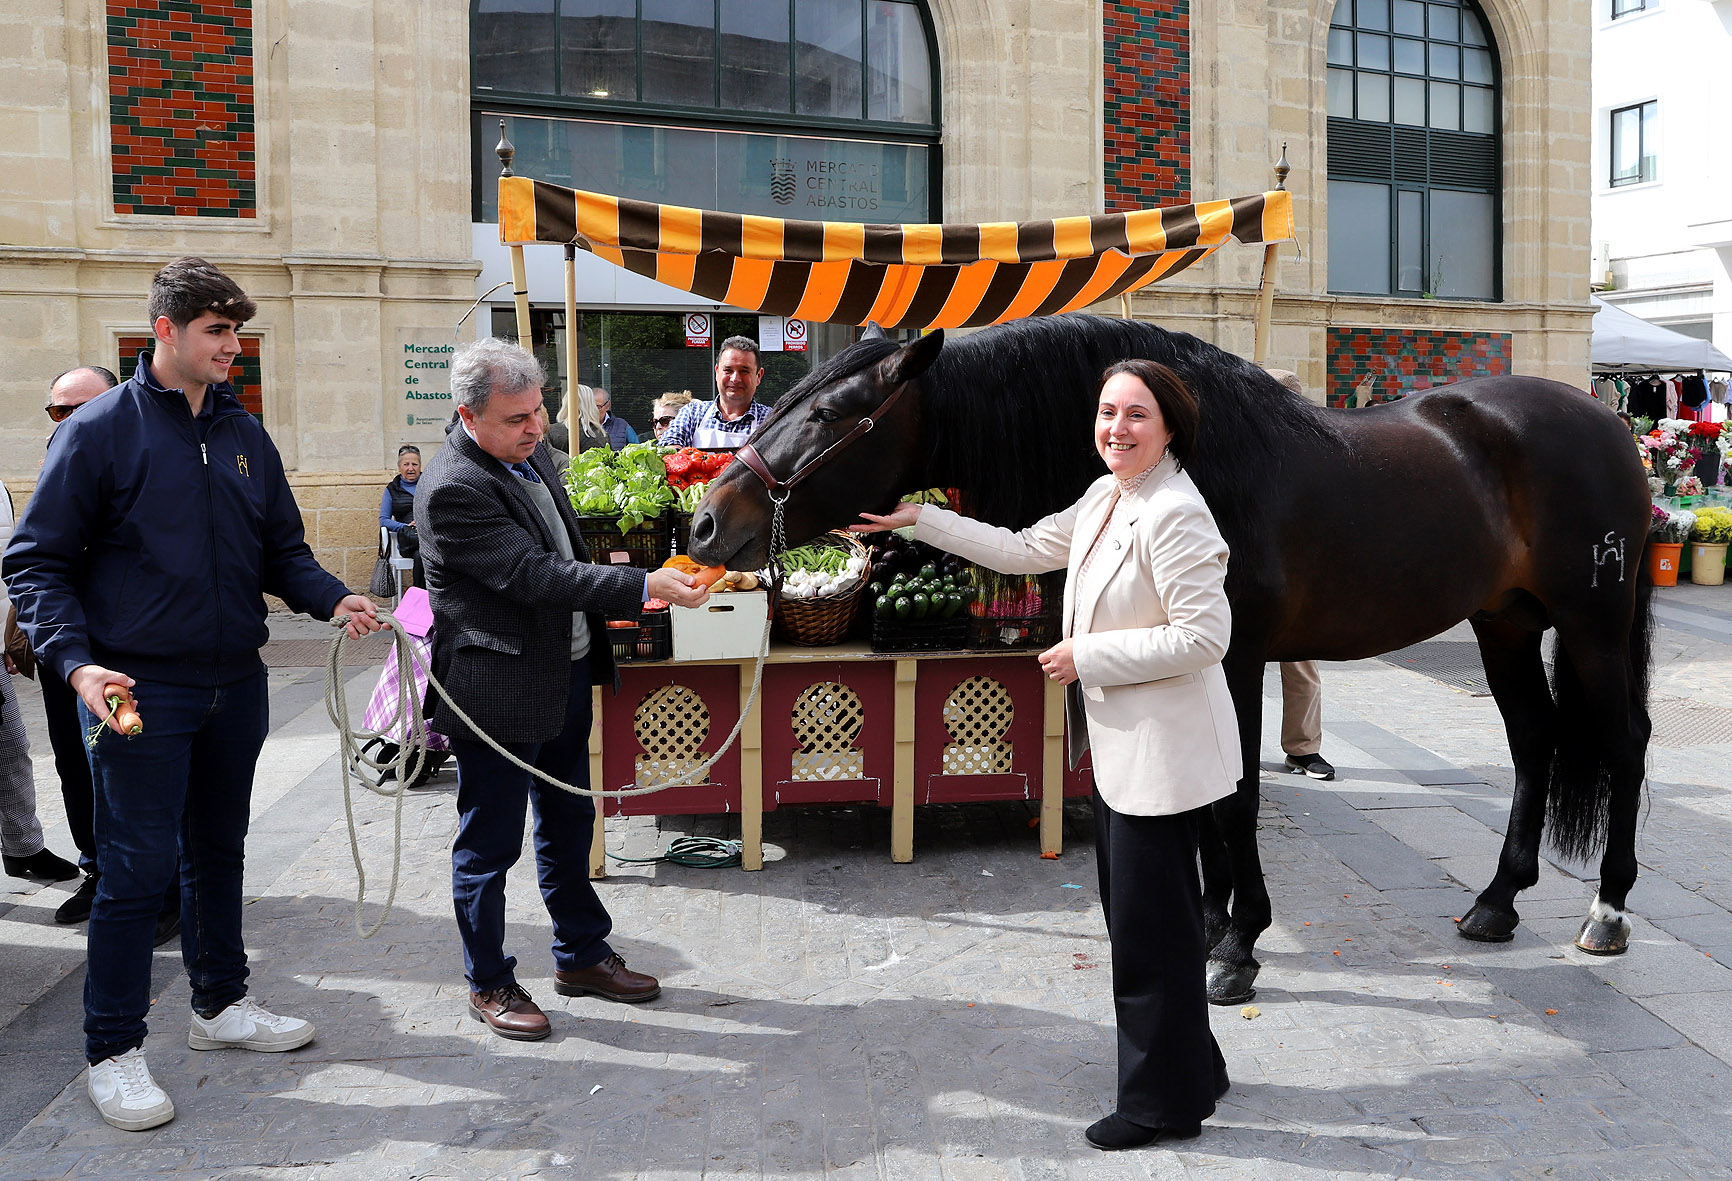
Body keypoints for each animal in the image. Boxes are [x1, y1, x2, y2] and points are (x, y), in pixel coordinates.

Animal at [685, 313, 1648, 1004]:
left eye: (828, 414)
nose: (704, 520)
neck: (1211, 465)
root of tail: (1607, 418)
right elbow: (1205, 808)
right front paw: (1216, 926)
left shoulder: (1236, 661)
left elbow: (1235, 800)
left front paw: (1240, 945)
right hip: (1504, 623)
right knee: (1533, 741)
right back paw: (1497, 900)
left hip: (1593, 624)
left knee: (1624, 742)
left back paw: (1606, 910)